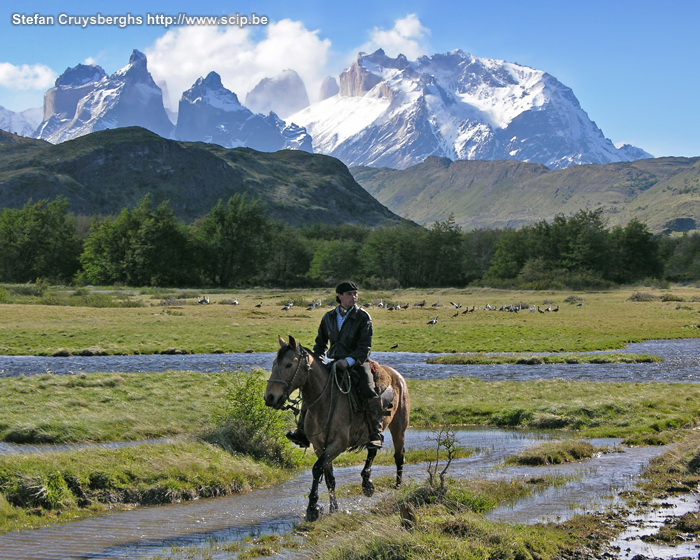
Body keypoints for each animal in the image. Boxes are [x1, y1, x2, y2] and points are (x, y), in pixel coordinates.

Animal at [266, 332, 412, 520]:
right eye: (274, 364)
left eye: (289, 364)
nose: (270, 397)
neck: (325, 401)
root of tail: (396, 375)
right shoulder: (319, 446)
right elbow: (329, 477)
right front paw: (333, 508)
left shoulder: (338, 444)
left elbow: (317, 469)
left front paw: (313, 508)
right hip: (373, 432)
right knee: (373, 448)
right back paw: (367, 484)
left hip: (399, 427)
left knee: (399, 456)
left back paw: (397, 486)